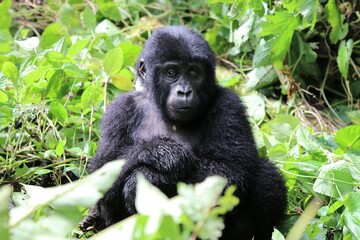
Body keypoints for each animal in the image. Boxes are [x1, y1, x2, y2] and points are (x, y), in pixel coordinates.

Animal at [83, 25, 286, 239]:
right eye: (171, 72)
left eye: (194, 72)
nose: (184, 91)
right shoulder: (120, 110)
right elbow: (103, 170)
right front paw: (161, 152)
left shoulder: (229, 106)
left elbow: (227, 170)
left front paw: (153, 177)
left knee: (264, 174)